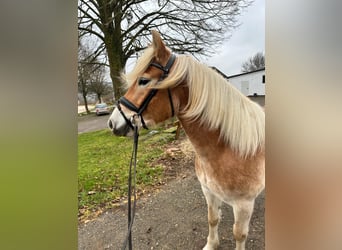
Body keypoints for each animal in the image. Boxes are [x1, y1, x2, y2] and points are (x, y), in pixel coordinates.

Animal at [107, 31, 264, 250]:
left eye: (144, 81)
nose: (112, 123)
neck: (228, 150)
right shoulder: (208, 191)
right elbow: (212, 219)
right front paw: (211, 244)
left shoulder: (244, 205)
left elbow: (239, 234)